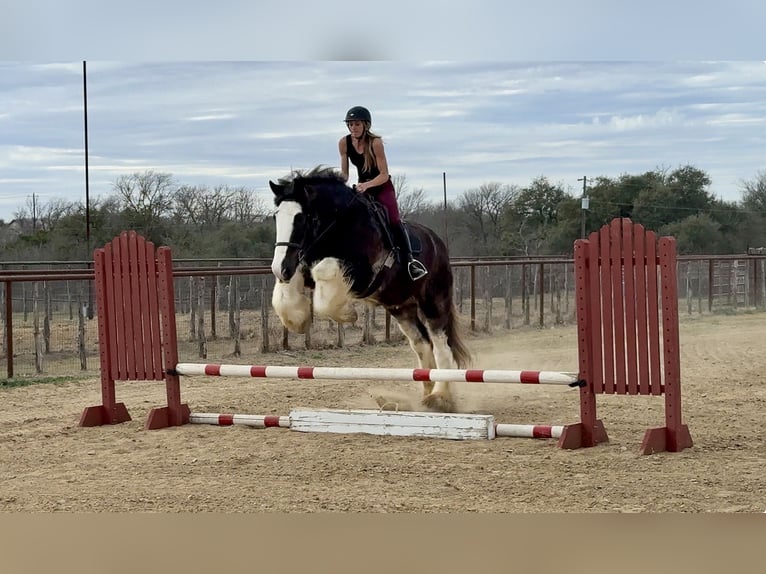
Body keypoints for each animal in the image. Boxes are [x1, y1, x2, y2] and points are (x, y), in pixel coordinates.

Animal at [268, 166, 472, 413]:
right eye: (276, 216)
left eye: (300, 218)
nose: (280, 268)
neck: (341, 223)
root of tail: (438, 242)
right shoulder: (302, 266)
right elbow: (287, 291)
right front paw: (297, 320)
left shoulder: (364, 274)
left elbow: (324, 273)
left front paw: (346, 314)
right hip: (400, 307)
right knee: (422, 343)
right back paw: (422, 395)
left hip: (433, 300)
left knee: (441, 344)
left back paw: (440, 397)